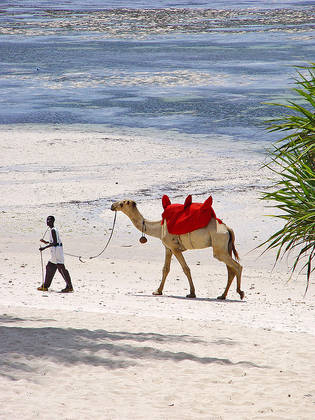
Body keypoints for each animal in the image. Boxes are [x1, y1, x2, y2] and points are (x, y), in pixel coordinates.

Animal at [112, 199, 246, 300]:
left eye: (122, 203)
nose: (112, 205)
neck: (159, 228)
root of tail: (228, 228)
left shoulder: (174, 248)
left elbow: (186, 269)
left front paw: (192, 293)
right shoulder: (168, 248)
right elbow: (165, 269)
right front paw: (158, 291)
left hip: (219, 246)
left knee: (237, 266)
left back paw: (240, 292)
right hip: (226, 248)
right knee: (231, 270)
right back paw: (222, 296)